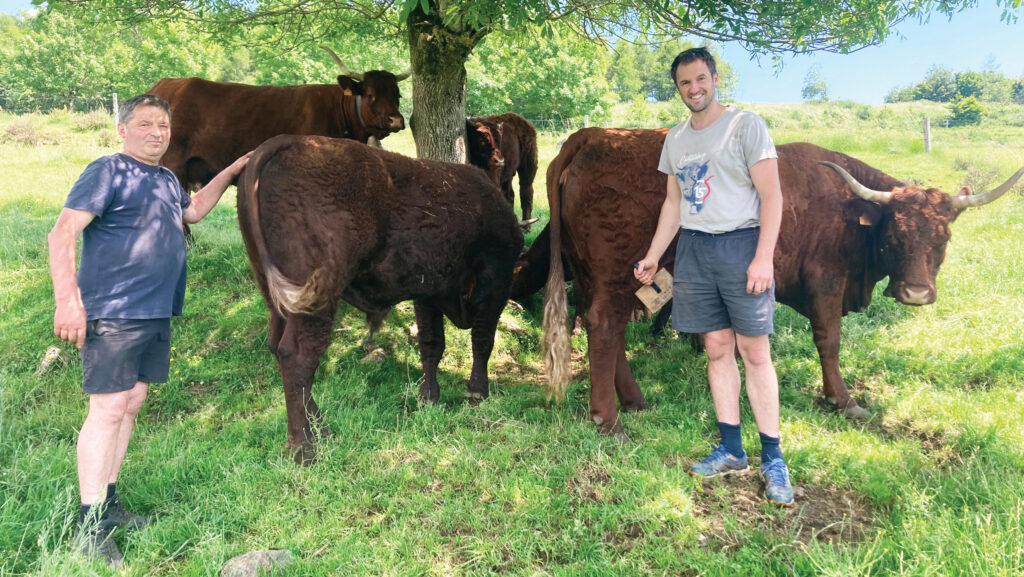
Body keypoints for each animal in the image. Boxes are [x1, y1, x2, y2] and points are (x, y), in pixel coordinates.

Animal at [239, 133, 524, 463]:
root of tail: (284, 142)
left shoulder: (427, 293)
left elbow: (432, 344)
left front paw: (428, 399)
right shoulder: (496, 284)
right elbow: (482, 341)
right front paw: (477, 392)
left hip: (277, 300)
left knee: (278, 348)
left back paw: (323, 432)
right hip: (316, 302)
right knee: (298, 357)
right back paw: (305, 448)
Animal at [540, 126, 1019, 434]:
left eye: (943, 236)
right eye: (894, 235)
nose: (916, 293)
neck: (845, 206)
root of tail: (594, 135)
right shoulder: (826, 281)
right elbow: (829, 340)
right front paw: (843, 400)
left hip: (595, 276)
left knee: (606, 329)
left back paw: (635, 401)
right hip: (619, 273)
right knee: (605, 326)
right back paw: (608, 418)